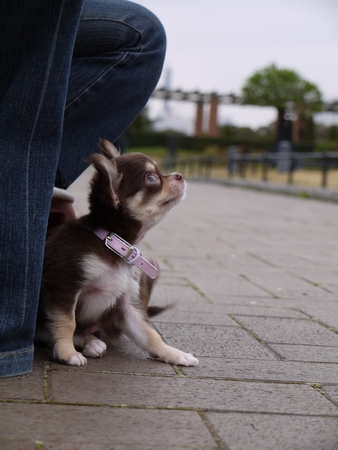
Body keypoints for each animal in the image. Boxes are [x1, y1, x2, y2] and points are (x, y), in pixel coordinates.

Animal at [36, 141, 199, 366]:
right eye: (151, 178)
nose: (180, 175)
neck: (109, 240)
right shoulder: (64, 284)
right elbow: (67, 321)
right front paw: (67, 353)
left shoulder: (125, 303)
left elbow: (149, 333)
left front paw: (173, 353)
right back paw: (89, 343)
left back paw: (92, 342)